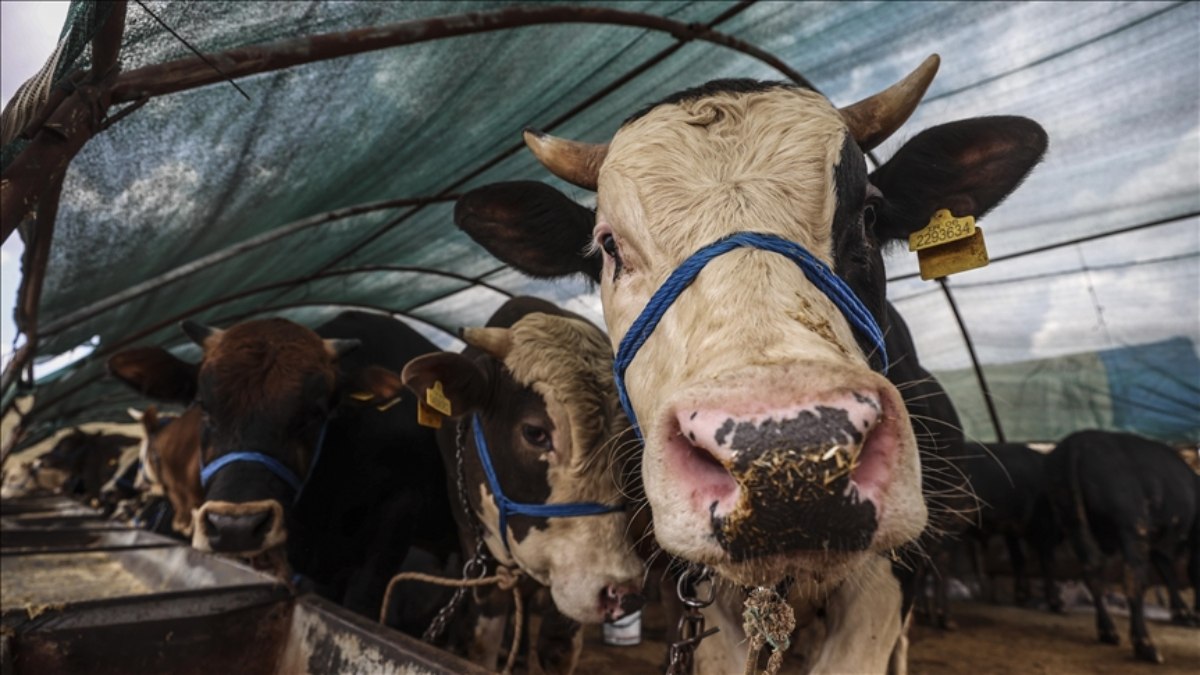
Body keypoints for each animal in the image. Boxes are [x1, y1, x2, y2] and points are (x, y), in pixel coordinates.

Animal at [403, 295, 648, 672]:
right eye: (534, 432)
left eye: (628, 442)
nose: (623, 591)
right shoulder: (483, 571)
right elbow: (482, 645)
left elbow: (556, 648)